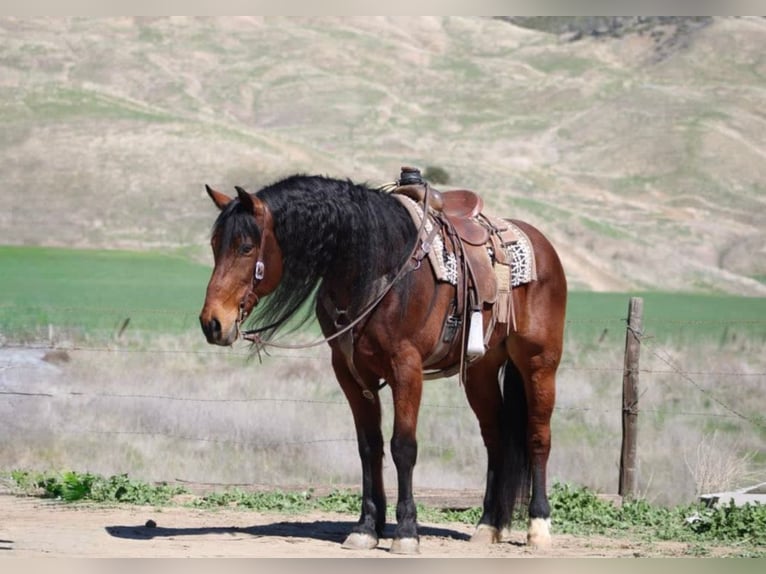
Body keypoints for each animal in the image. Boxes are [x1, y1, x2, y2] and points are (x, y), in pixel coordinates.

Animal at [201, 169, 568, 556]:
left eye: (245, 247)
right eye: (214, 244)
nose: (212, 323)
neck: (374, 268)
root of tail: (542, 245)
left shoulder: (406, 369)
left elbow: (402, 447)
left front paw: (406, 531)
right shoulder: (349, 372)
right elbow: (369, 447)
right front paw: (366, 527)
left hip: (539, 363)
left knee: (538, 437)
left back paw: (538, 527)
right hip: (480, 373)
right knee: (496, 439)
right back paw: (488, 525)